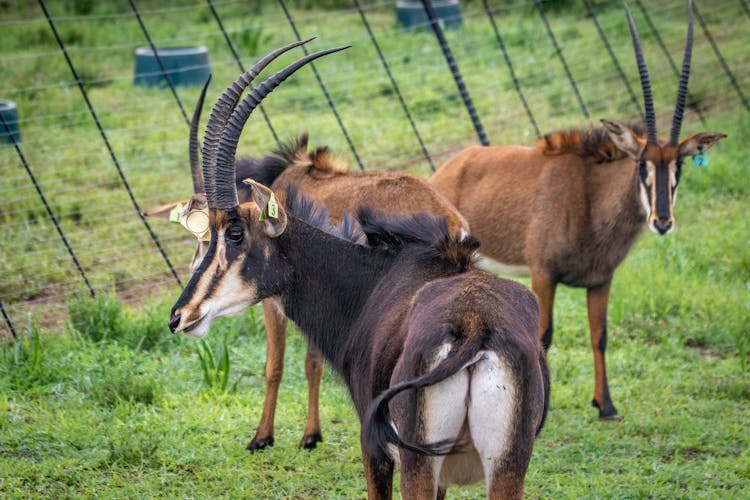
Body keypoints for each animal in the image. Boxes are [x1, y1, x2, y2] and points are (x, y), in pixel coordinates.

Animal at [167, 43, 548, 500]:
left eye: (234, 232)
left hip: (417, 465)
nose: (180, 316)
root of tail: (474, 329)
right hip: (505, 467)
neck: (373, 279)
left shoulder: (374, 448)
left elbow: (280, 364)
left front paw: (267, 438)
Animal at [428, 0, 728, 422]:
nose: (662, 221)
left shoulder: (601, 279)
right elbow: (543, 336)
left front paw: (606, 406)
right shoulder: (543, 273)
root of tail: (445, 171)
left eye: (679, 165)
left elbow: (599, 335)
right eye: (642, 164)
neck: (591, 197)